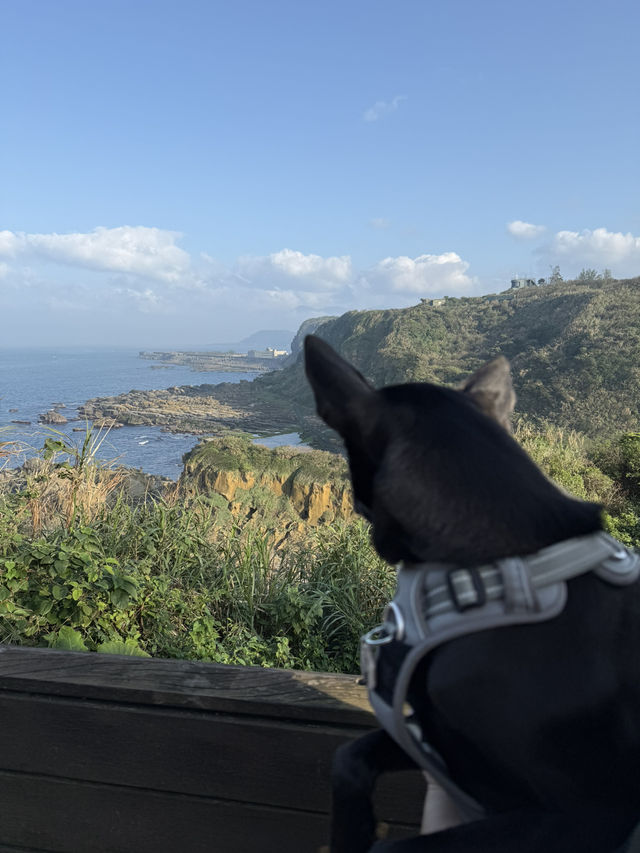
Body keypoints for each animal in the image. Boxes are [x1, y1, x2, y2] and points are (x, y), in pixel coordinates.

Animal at [304, 332, 640, 852]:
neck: (498, 565)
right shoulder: (433, 734)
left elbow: (402, 847)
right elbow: (348, 756)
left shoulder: (587, 814)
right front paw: (352, 830)